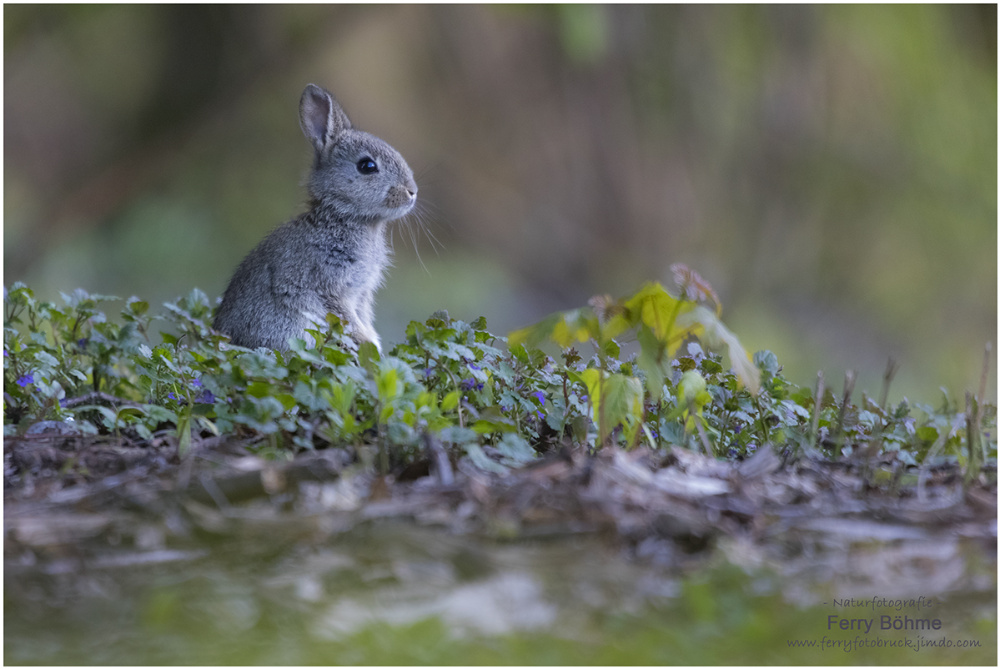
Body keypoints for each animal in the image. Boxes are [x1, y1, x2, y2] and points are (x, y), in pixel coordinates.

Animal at [215, 84, 418, 352]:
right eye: (367, 166)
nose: (412, 192)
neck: (341, 215)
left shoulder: (361, 293)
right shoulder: (329, 284)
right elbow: (346, 318)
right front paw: (368, 344)